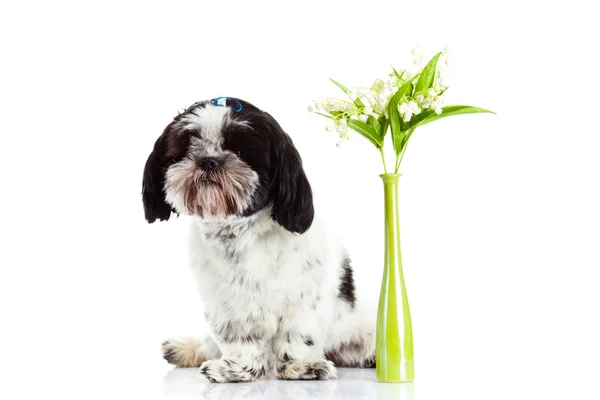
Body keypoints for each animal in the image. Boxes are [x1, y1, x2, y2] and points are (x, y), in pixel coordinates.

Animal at [142, 98, 372, 382]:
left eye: (241, 151)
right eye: (186, 148)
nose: (208, 161)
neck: (241, 235)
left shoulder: (304, 300)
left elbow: (297, 335)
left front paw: (300, 367)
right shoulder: (226, 305)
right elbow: (240, 339)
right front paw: (238, 369)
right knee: (210, 344)